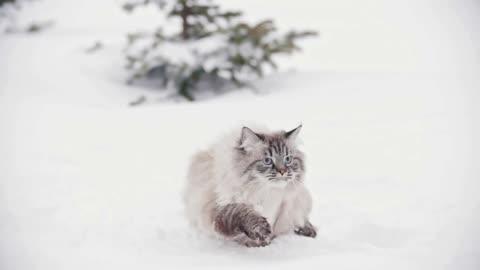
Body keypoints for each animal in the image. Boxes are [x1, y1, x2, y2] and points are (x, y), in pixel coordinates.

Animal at [184, 124, 316, 247]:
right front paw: (260, 233)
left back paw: (308, 230)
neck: (262, 191)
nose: (282, 171)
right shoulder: (219, 208)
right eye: (267, 161)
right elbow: (242, 212)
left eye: (288, 159)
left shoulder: (279, 206)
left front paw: (264, 241)